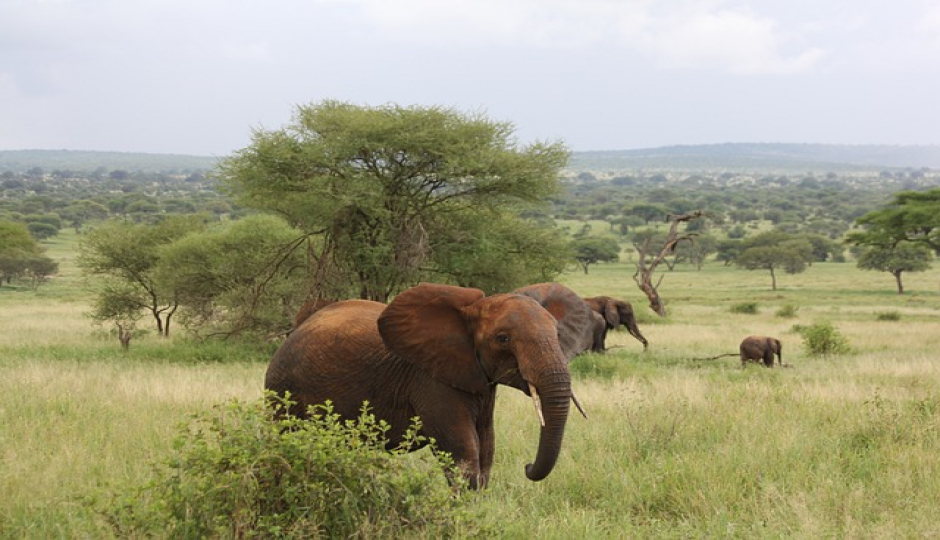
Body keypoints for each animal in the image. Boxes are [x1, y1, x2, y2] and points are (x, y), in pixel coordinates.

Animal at [264, 282, 572, 490]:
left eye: (558, 333)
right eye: (503, 338)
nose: (527, 467)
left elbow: (486, 447)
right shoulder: (430, 380)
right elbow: (463, 453)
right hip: (282, 388)